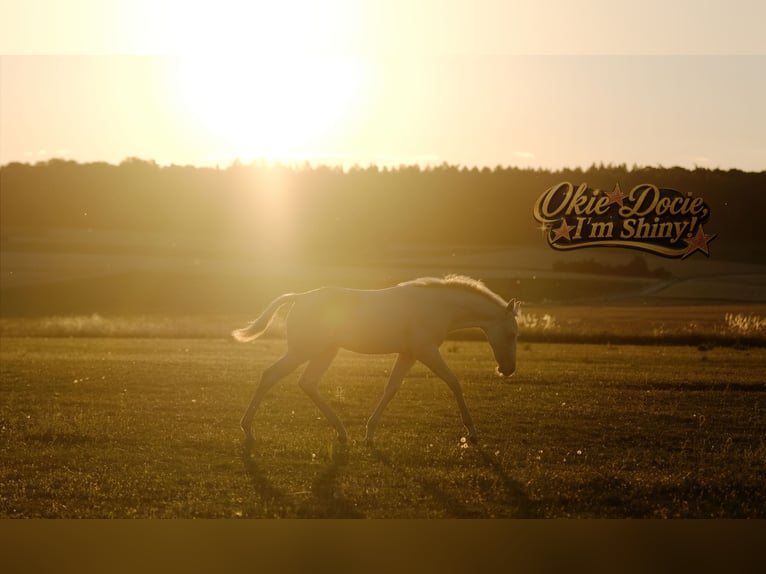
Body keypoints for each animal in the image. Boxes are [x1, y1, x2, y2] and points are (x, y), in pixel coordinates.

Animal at [232, 274, 521, 445]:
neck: (437, 305)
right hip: (304, 351)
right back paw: (247, 429)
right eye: (512, 333)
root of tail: (300, 297)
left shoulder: (409, 354)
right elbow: (454, 382)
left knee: (308, 383)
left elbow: (391, 388)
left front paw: (369, 434)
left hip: (325, 352)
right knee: (271, 375)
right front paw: (471, 432)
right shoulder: (426, 351)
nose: (507, 369)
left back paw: (342, 432)